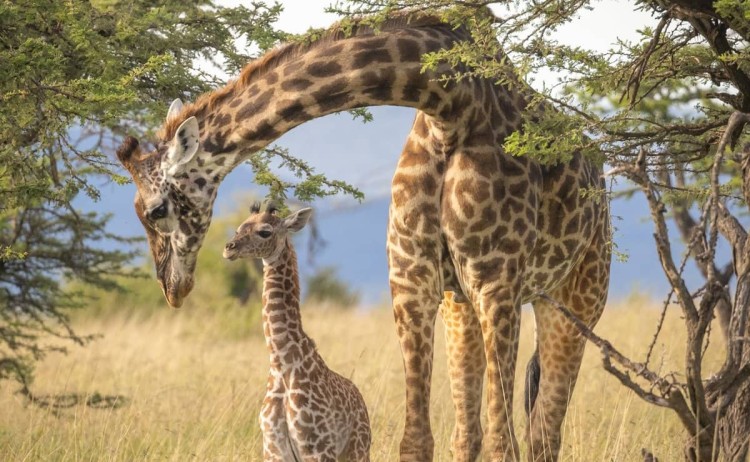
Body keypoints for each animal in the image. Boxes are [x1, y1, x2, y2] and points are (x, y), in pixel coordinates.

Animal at [223, 202, 371, 461]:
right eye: (239, 227)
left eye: (265, 232)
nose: (229, 248)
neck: (282, 364)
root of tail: (361, 400)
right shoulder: (273, 450)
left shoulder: (318, 448)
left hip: (358, 449)